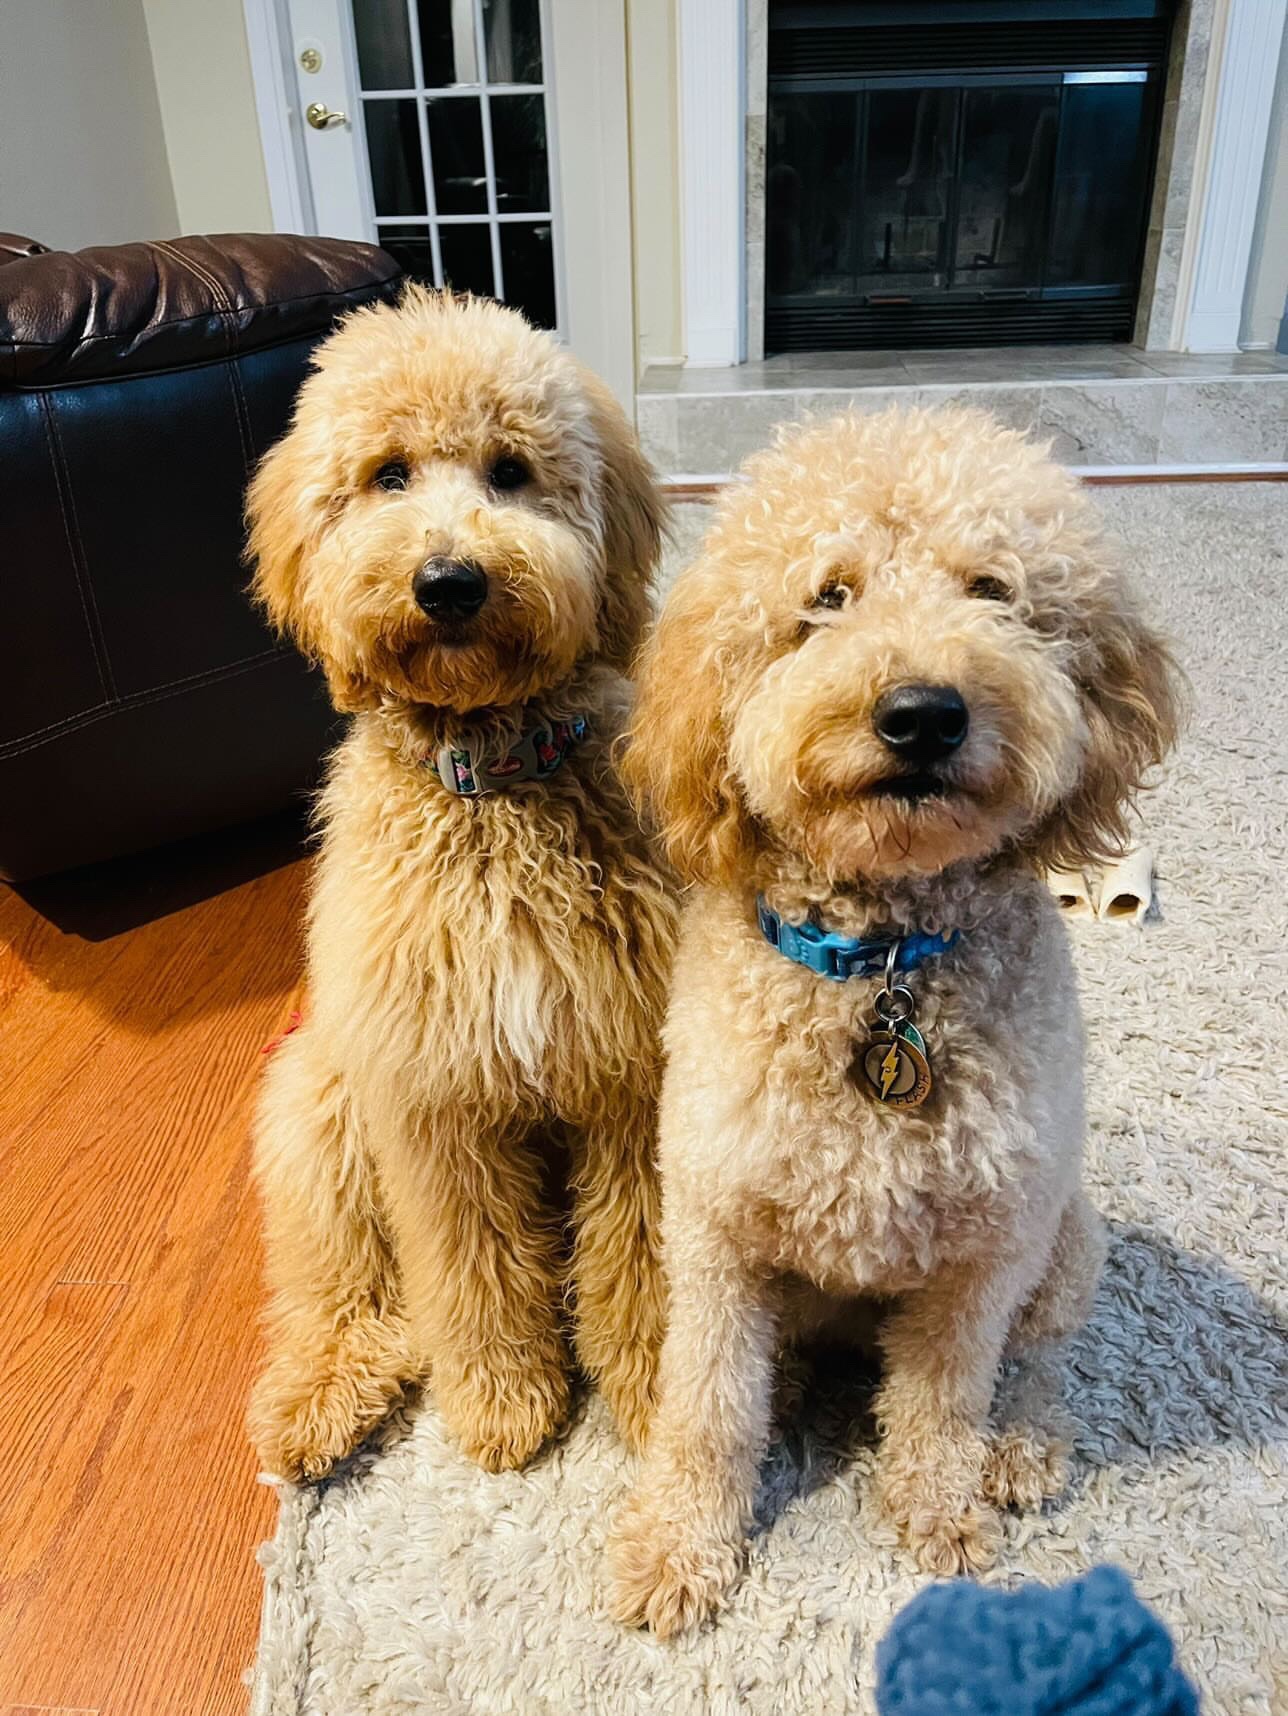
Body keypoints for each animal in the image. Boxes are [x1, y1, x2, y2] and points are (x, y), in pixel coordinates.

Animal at [244, 287, 676, 1479]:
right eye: (389, 473)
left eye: (511, 470)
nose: (448, 583)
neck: (492, 784)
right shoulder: (436, 1101)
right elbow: (471, 1265)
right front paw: (501, 1400)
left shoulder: (629, 1078)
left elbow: (643, 1254)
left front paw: (654, 1391)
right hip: (323, 1108)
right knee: (347, 1285)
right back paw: (320, 1398)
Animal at [607, 407, 1179, 1635]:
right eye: (827, 596)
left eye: (994, 589)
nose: (922, 713)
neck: (882, 963)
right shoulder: (716, 1237)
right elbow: (707, 1409)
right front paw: (679, 1547)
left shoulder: (983, 1251)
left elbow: (945, 1392)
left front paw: (934, 1511)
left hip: (1065, 1241)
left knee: (1038, 1365)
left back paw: (1019, 1451)